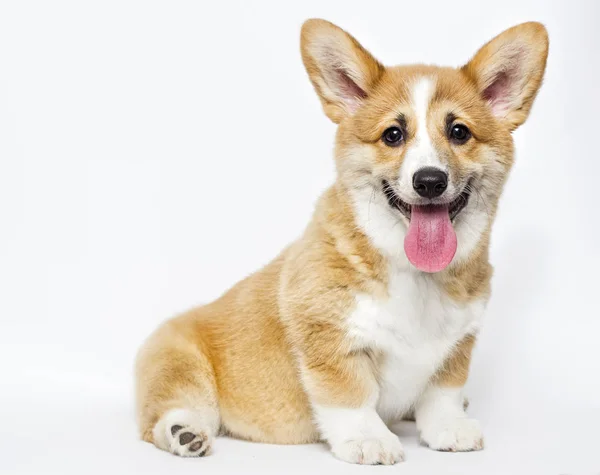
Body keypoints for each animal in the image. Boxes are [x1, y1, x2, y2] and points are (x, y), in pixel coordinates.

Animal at [135, 18, 548, 464]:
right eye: (393, 135)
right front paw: (369, 439)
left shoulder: (457, 344)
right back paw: (183, 432)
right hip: (178, 362)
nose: (429, 181)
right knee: (170, 408)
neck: (414, 272)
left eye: (459, 132)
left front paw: (449, 427)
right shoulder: (329, 338)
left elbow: (443, 393)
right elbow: (351, 395)